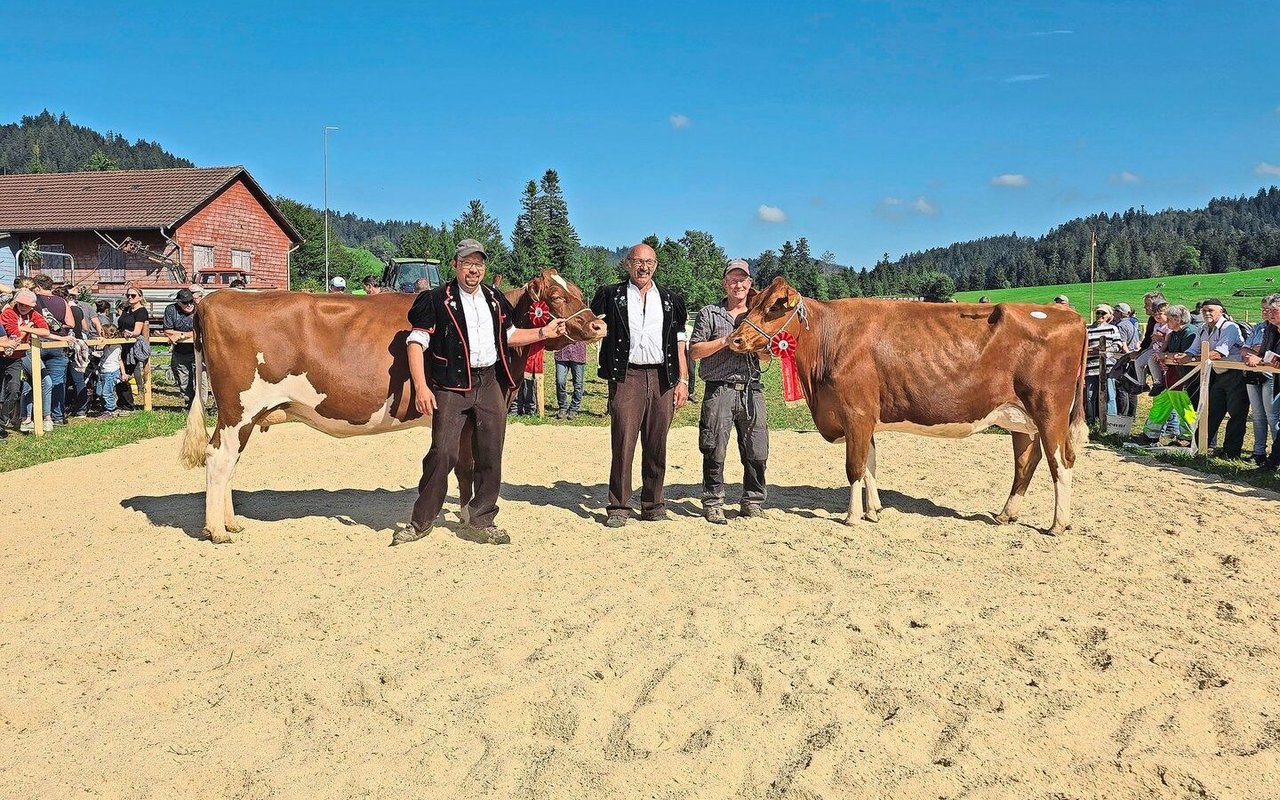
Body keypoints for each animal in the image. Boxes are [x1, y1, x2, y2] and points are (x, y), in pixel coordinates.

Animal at [179, 270, 604, 542]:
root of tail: (216, 298)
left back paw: (231, 523)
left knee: (228, 461)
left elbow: (463, 468)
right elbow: (464, 467)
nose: (598, 325)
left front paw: (467, 515)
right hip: (239, 409)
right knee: (219, 458)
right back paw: (218, 531)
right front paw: (467, 517)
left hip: (245, 416)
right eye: (557, 297)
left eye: (580, 291)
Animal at [732, 277, 1080, 532]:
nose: (735, 339)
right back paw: (1006, 515)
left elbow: (854, 467)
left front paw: (852, 517)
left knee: (1061, 462)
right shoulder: (865, 417)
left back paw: (1058, 524)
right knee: (1026, 462)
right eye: (753, 304)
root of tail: (1068, 315)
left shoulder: (856, 413)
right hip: (1019, 418)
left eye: (774, 307)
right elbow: (870, 465)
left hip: (1050, 411)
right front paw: (874, 511)